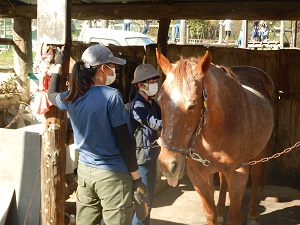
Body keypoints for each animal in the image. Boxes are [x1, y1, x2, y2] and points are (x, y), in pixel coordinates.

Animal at [156, 49, 276, 225]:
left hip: (260, 154)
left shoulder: (238, 173)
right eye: (159, 101)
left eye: (192, 106)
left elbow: (234, 217)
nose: (167, 165)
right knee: (222, 179)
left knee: (256, 177)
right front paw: (217, 213)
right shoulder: (198, 175)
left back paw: (253, 215)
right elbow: (210, 214)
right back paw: (220, 210)